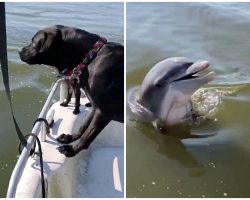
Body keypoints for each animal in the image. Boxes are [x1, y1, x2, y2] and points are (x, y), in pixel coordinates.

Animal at [19, 24, 124, 156]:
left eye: (33, 42)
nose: (19, 51)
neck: (90, 57)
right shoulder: (96, 107)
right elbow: (83, 126)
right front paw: (70, 138)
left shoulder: (104, 112)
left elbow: (87, 136)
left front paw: (71, 149)